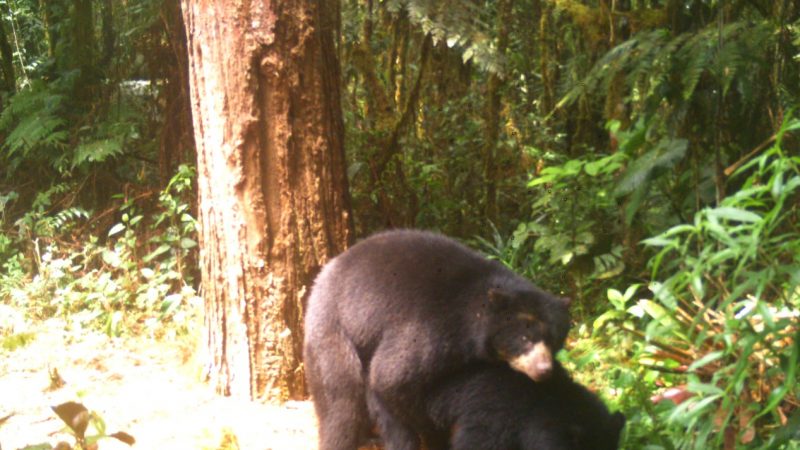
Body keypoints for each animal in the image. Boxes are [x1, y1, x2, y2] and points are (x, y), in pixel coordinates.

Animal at [303, 229, 571, 450]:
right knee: (342, 401)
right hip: (332, 330)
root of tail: (325, 274)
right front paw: (429, 433)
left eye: (554, 340)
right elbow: (390, 377)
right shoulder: (431, 328)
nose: (544, 370)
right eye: (525, 338)